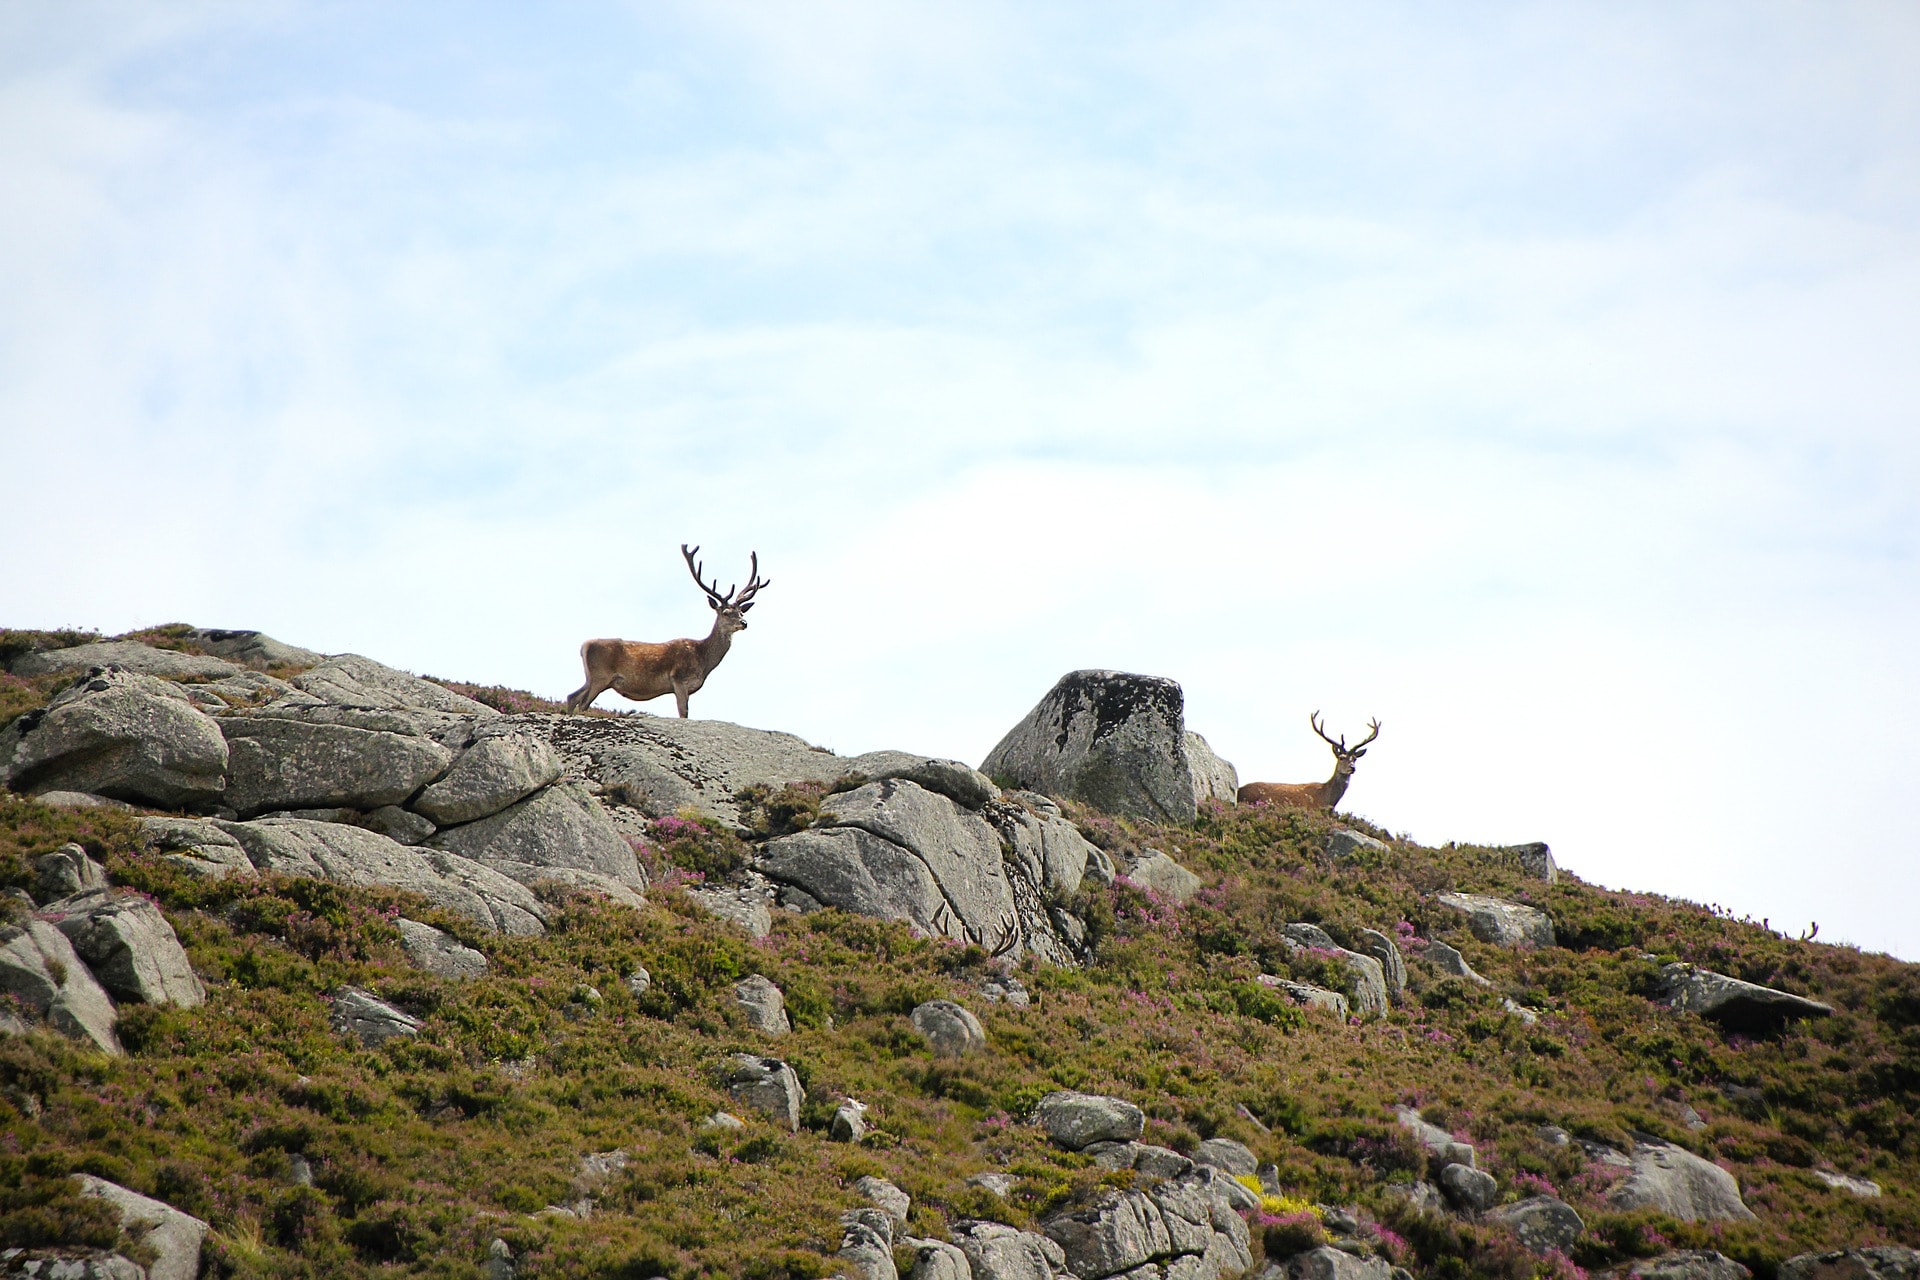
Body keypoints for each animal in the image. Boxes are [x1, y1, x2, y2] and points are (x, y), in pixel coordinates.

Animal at [564, 545, 768, 721]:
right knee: (583, 703)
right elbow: (684, 712)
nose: (744, 623)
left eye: (742, 612)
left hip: (592, 677)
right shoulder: (679, 679)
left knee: (572, 696)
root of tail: (584, 646)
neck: (703, 659)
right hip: (600, 675)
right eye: (725, 613)